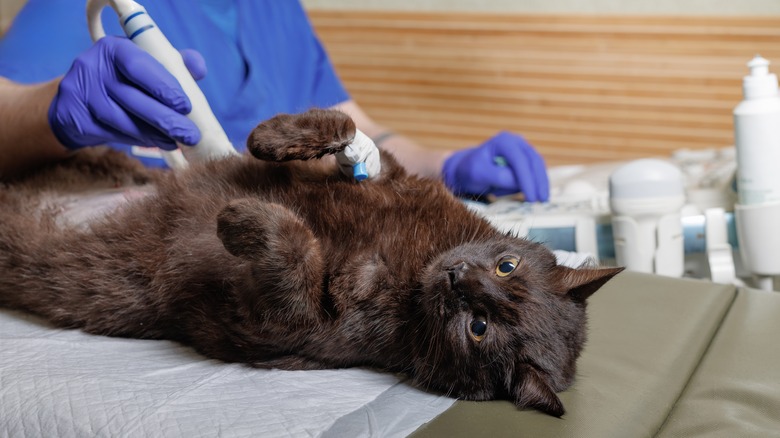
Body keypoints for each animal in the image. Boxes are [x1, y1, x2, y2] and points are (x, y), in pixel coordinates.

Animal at [0, 108, 620, 416]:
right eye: (506, 266)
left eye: (480, 327)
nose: (457, 276)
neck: (415, 259)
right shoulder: (389, 173)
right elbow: (340, 129)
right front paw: (272, 139)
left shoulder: (280, 324)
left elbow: (294, 255)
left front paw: (241, 218)